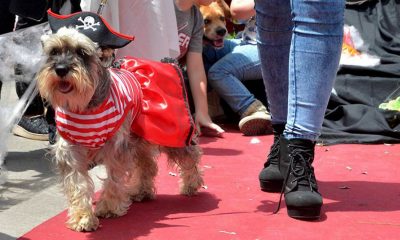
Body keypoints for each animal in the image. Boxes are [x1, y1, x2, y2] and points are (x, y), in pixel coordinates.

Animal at [36, 27, 205, 232]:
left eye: (82, 52)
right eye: (54, 51)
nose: (61, 69)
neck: (86, 106)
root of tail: (168, 62)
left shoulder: (116, 149)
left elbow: (114, 180)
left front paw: (109, 208)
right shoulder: (70, 151)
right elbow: (78, 185)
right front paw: (82, 217)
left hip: (172, 134)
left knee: (190, 155)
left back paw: (191, 184)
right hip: (139, 136)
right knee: (148, 164)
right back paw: (142, 191)